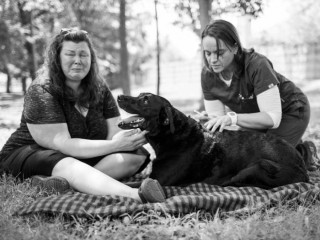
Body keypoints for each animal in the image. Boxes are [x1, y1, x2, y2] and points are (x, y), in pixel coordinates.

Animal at [117, 93, 308, 188]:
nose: (119, 96)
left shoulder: (158, 180)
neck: (172, 135)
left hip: (259, 165)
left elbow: (129, 184)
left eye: (145, 101)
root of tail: (304, 169)